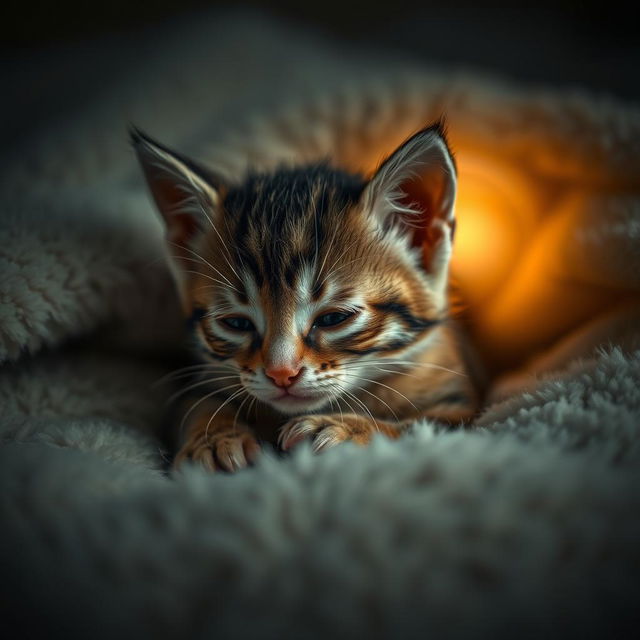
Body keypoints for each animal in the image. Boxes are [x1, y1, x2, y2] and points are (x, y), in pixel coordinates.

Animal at [131, 121, 480, 470]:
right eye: (236, 323)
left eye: (334, 318)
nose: (280, 374)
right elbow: (197, 403)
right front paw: (213, 439)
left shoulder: (461, 411)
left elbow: (419, 427)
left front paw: (349, 429)